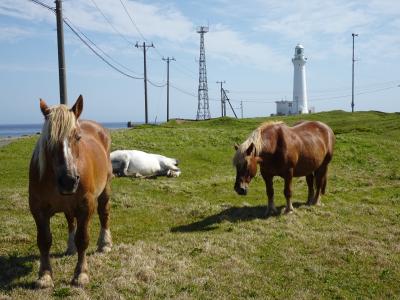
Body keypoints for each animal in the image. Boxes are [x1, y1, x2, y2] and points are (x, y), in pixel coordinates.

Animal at [29, 95, 112, 288]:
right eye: (49, 139)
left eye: (78, 137)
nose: (69, 180)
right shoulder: (38, 209)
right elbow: (44, 241)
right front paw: (45, 276)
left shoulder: (86, 206)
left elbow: (83, 239)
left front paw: (81, 274)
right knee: (70, 221)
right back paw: (70, 247)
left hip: (105, 188)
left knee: (104, 213)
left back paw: (105, 243)